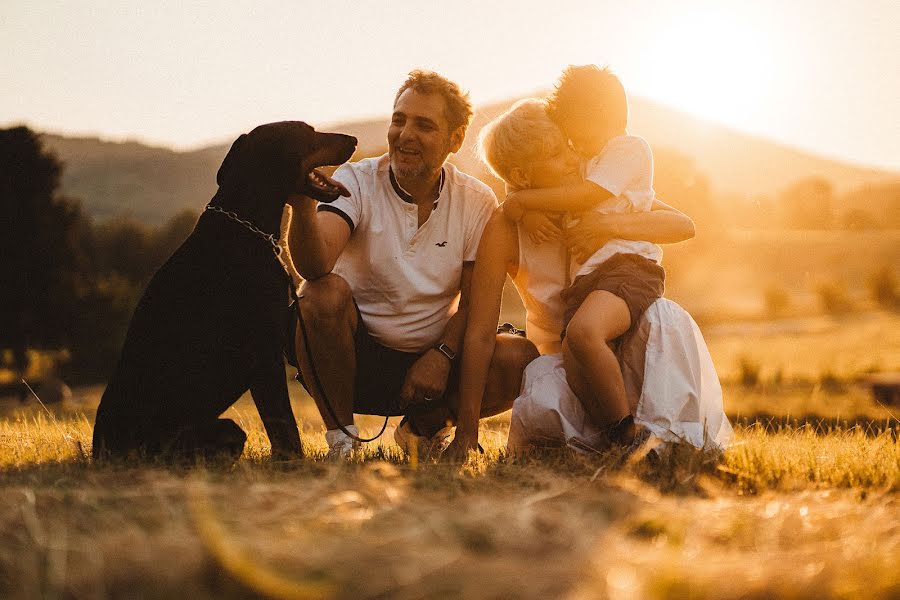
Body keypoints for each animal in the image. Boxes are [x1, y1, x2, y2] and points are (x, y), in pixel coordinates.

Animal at [93, 119, 356, 462]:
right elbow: (284, 423)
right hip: (219, 429)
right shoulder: (264, 351)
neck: (247, 225)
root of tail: (99, 449)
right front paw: (293, 462)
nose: (354, 139)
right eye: (308, 131)